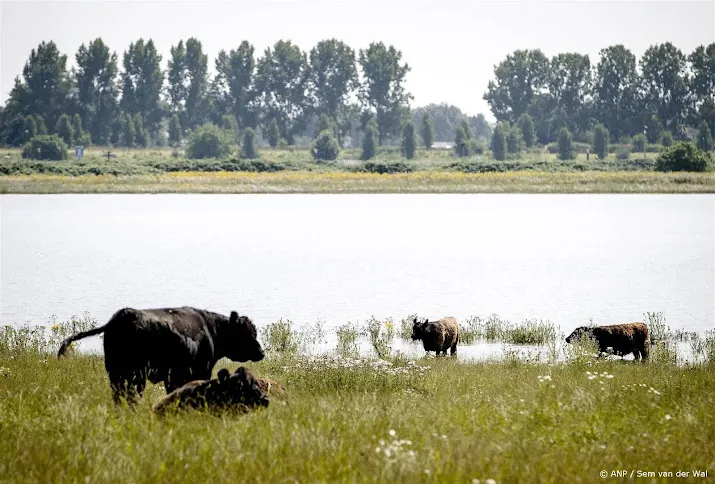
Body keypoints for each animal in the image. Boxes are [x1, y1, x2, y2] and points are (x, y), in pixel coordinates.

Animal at [57, 306, 266, 404]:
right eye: (248, 333)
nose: (261, 352)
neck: (211, 330)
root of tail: (119, 317)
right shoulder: (199, 371)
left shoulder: (172, 377)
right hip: (135, 375)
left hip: (116, 373)